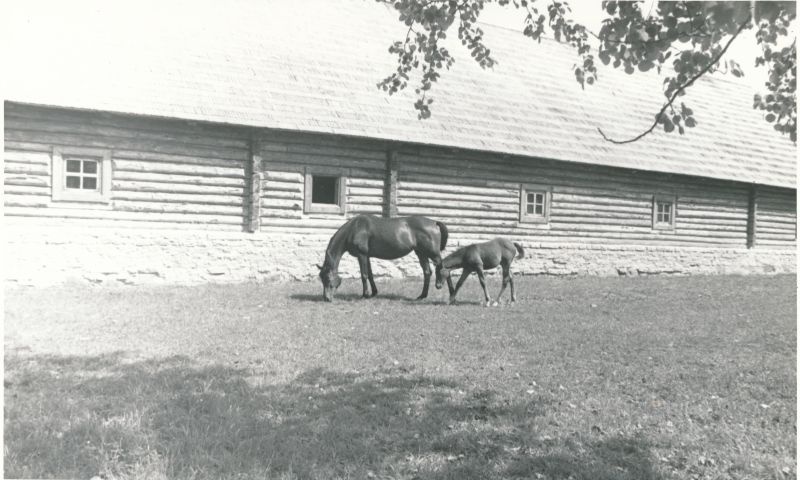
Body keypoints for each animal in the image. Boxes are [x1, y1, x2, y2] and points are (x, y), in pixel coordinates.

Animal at [316, 215, 450, 302]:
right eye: (321, 279)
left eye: (328, 279)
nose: (326, 298)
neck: (355, 228)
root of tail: (434, 223)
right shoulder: (367, 256)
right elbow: (370, 275)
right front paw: (373, 293)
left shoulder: (362, 255)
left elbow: (364, 275)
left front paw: (365, 295)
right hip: (421, 253)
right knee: (427, 272)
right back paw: (422, 296)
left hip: (433, 254)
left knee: (445, 270)